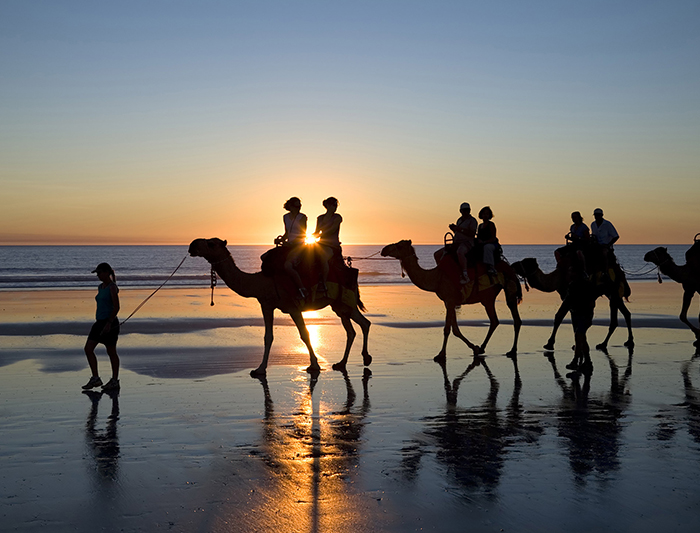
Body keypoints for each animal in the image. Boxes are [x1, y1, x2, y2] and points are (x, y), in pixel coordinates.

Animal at [186, 237, 372, 374]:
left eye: (211, 243)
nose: (192, 245)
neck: (262, 282)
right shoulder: (266, 305)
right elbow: (268, 337)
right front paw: (259, 369)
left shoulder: (293, 307)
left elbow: (305, 334)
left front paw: (314, 366)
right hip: (339, 305)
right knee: (353, 329)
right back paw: (342, 363)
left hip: (346, 301)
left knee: (363, 324)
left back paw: (365, 358)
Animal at [380, 240, 524, 358]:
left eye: (399, 245)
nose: (384, 249)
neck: (436, 278)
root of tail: (509, 267)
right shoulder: (449, 301)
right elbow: (455, 329)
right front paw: (474, 348)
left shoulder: (450, 300)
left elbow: (447, 329)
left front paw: (441, 354)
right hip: (490, 296)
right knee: (497, 320)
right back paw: (484, 348)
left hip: (505, 289)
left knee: (508, 318)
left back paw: (510, 350)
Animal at [508, 256, 636, 352]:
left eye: (525, 262)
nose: (512, 265)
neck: (558, 278)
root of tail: (620, 270)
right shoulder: (571, 299)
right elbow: (574, 320)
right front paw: (576, 345)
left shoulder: (569, 296)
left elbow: (559, 317)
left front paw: (549, 344)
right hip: (611, 292)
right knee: (623, 314)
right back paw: (607, 343)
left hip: (613, 291)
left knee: (622, 314)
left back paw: (624, 342)